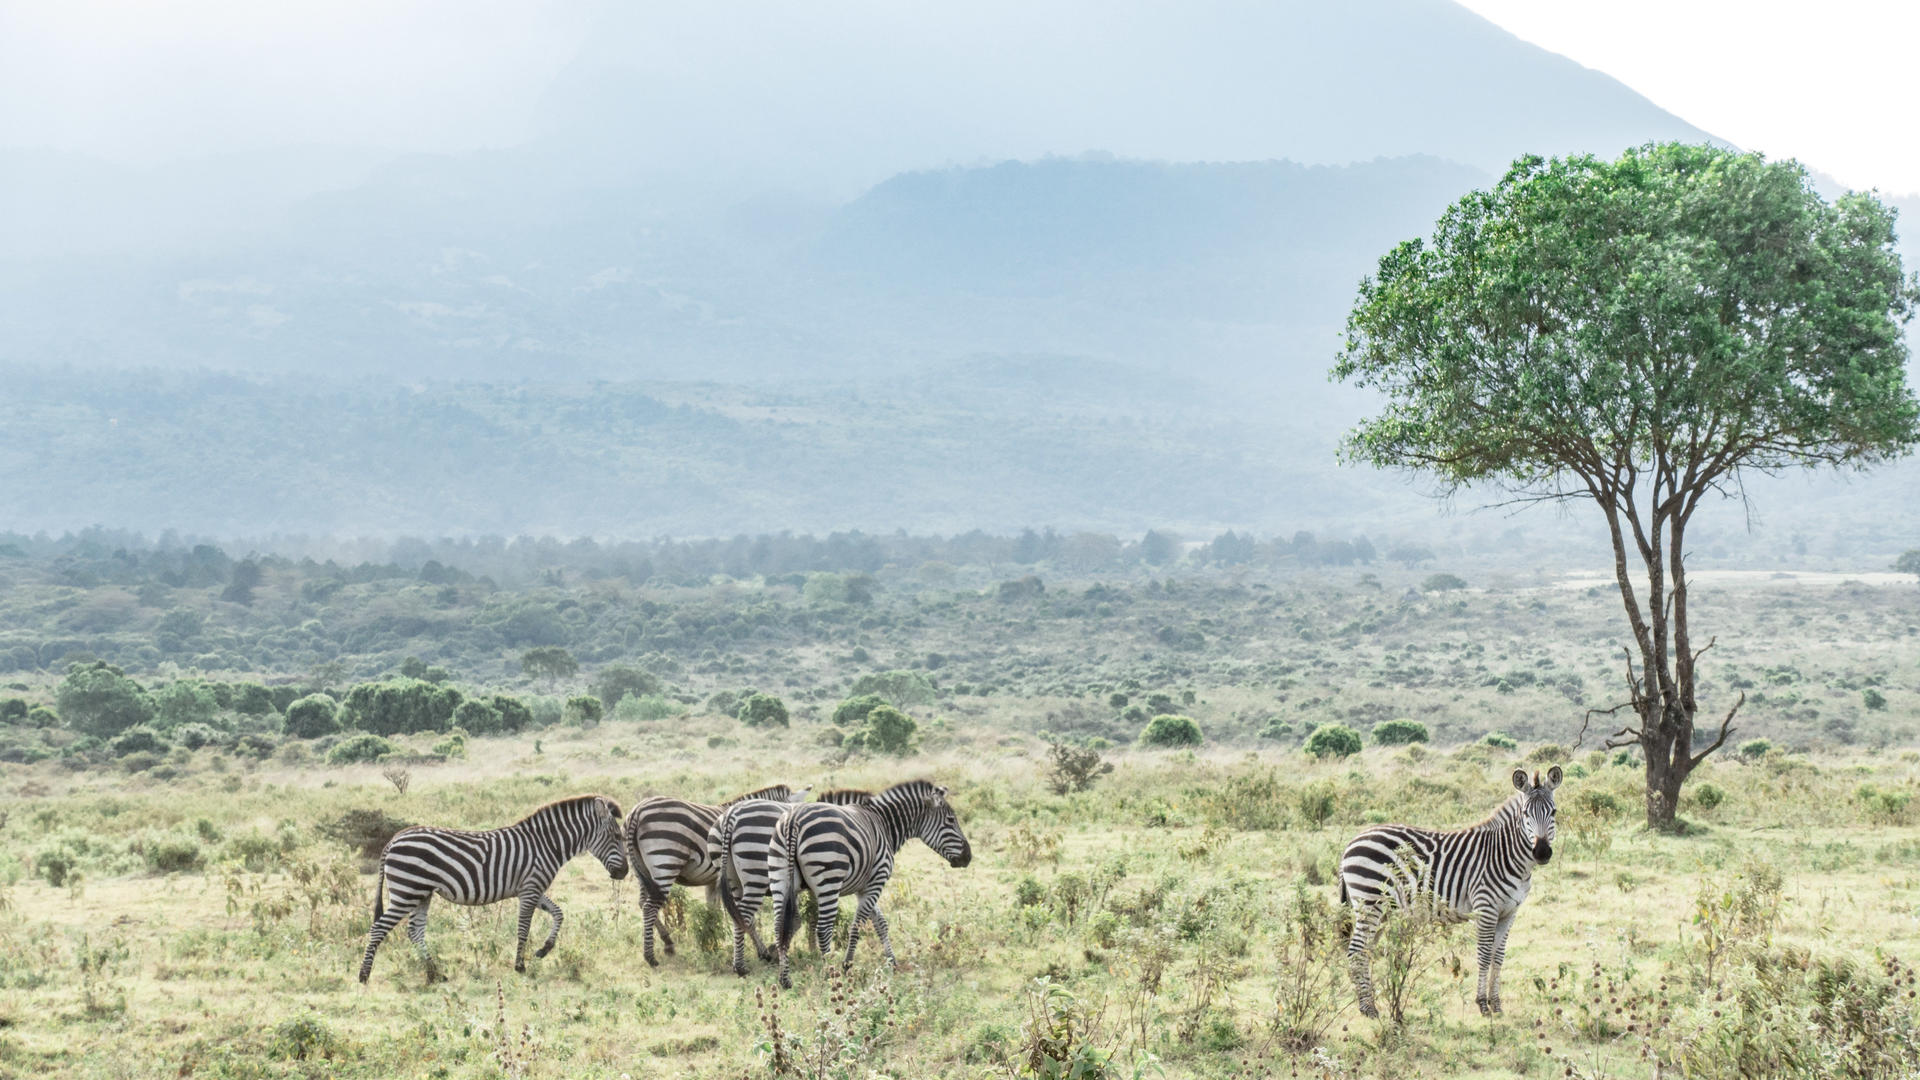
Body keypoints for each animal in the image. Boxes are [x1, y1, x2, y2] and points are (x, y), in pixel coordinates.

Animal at [357, 793, 628, 984]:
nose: (624, 873)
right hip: (407, 891)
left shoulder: (532, 888)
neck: (546, 844)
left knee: (415, 931)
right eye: (616, 836)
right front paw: (520, 966)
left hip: (421, 894)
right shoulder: (530, 889)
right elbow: (523, 929)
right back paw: (364, 976)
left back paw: (435, 974)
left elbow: (559, 913)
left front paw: (544, 950)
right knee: (379, 927)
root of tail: (394, 839)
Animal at [624, 783, 808, 966]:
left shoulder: (714, 882)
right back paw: (651, 957)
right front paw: (763, 951)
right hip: (665, 861)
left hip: (642, 870)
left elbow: (713, 911)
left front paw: (712, 944)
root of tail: (636, 812)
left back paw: (667, 943)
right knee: (649, 906)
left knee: (642, 903)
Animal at [708, 788, 873, 976]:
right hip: (755, 872)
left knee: (741, 917)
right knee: (745, 915)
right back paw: (744, 965)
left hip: (732, 878)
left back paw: (758, 954)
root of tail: (731, 816)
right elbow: (804, 919)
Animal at [769, 779, 972, 989]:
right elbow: (858, 925)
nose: (968, 857)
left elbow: (880, 922)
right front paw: (847, 965)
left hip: (779, 877)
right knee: (823, 929)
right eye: (950, 820)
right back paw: (832, 976)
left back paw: (784, 979)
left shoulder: (863, 887)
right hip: (828, 880)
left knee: (779, 927)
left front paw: (892, 962)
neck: (884, 824)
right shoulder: (877, 880)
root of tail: (793, 820)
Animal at [1338, 766, 1561, 1018]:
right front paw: (1482, 1005)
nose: (1541, 852)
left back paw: (1368, 1005)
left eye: (1553, 812)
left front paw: (1496, 1004)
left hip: (1383, 909)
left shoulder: (1509, 912)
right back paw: (1368, 1009)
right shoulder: (1485, 908)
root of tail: (1351, 842)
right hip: (1370, 901)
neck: (1506, 855)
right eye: (1525, 814)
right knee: (1356, 951)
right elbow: (1485, 955)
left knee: (1366, 951)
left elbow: (1499, 957)